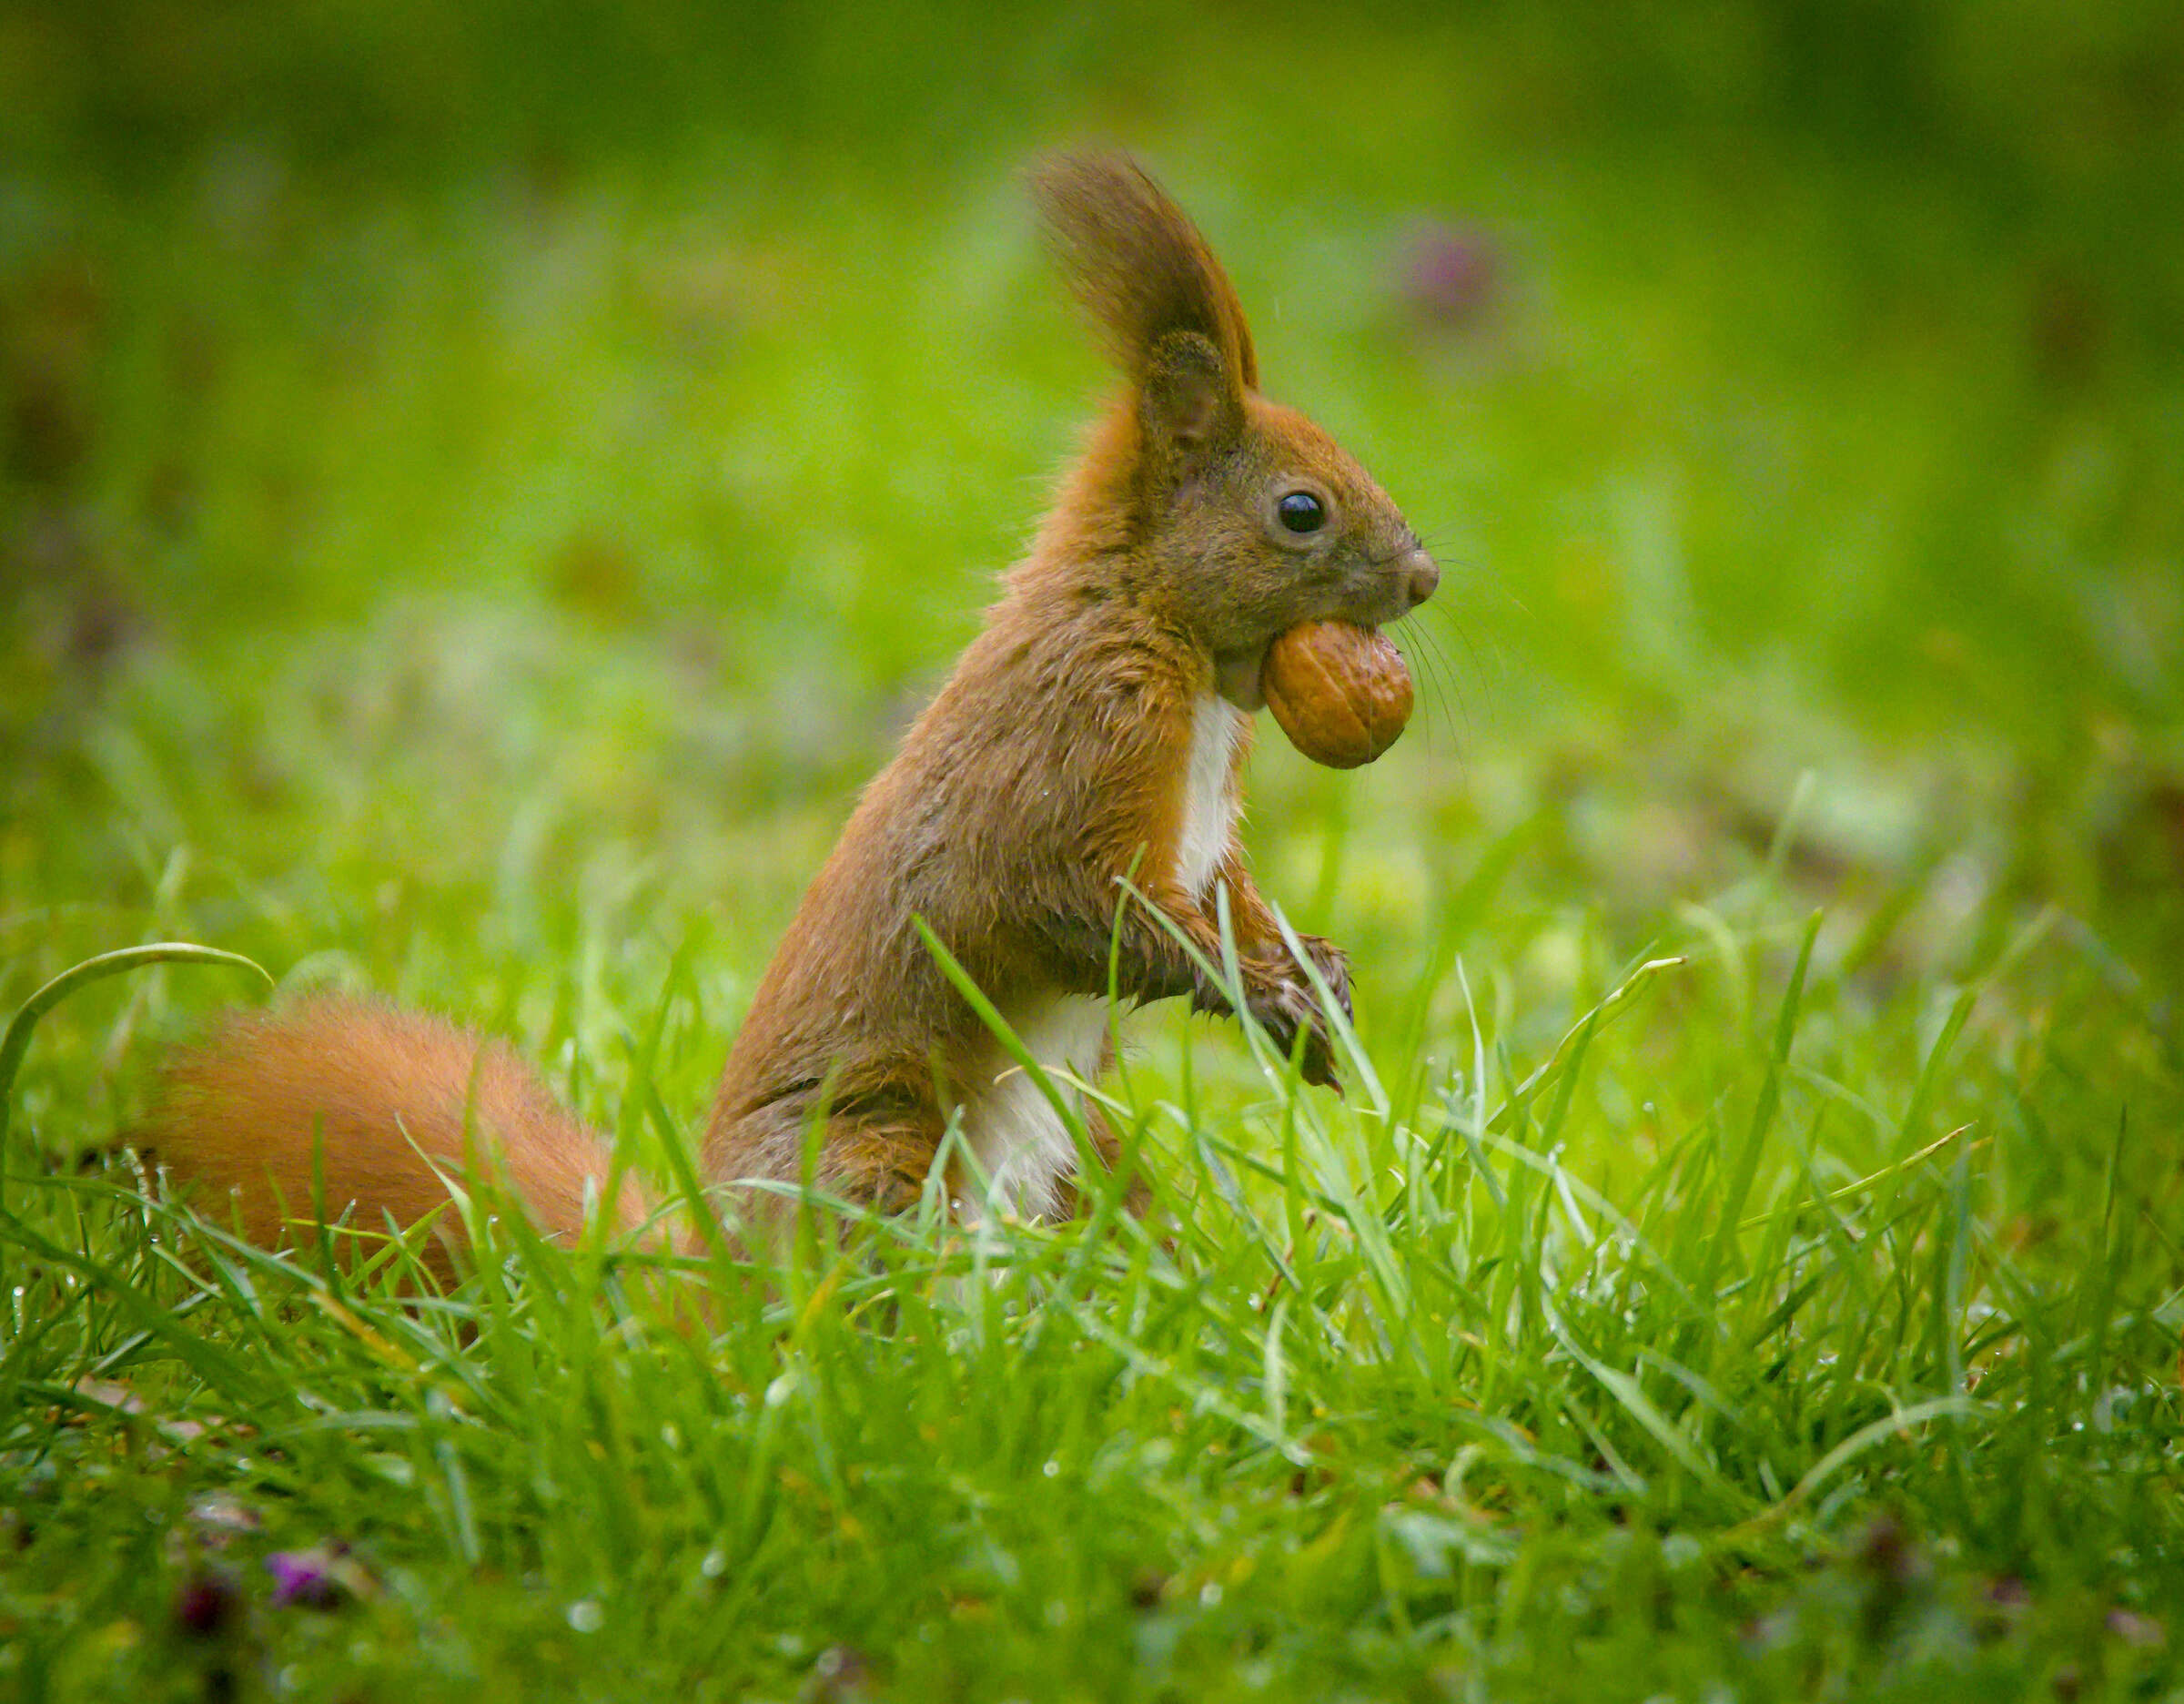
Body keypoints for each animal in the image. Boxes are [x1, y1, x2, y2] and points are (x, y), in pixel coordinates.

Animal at [136, 156, 1432, 1275]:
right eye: (1302, 510)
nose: (1425, 579)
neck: (1178, 649)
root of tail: (704, 1279)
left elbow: (1224, 889)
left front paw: (1313, 976)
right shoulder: (1073, 744)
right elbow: (1068, 900)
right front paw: (1261, 988)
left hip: (1090, 1159)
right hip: (867, 1143)